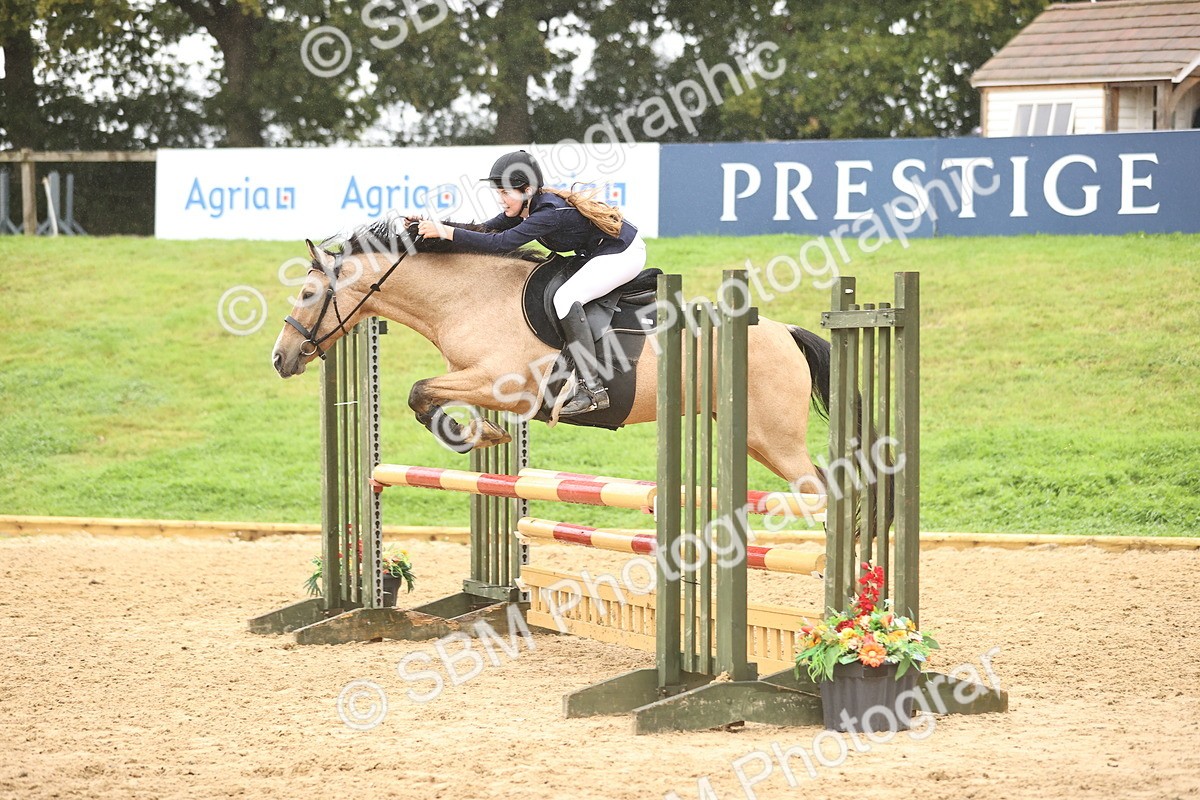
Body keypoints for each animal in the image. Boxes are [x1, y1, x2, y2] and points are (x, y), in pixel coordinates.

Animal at [271, 221, 832, 490]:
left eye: (307, 294)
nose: (280, 359)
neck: (467, 297)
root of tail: (785, 332)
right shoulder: (470, 377)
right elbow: (435, 398)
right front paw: (480, 434)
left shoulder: (503, 384)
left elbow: (418, 393)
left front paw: (471, 436)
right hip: (753, 438)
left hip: (774, 439)